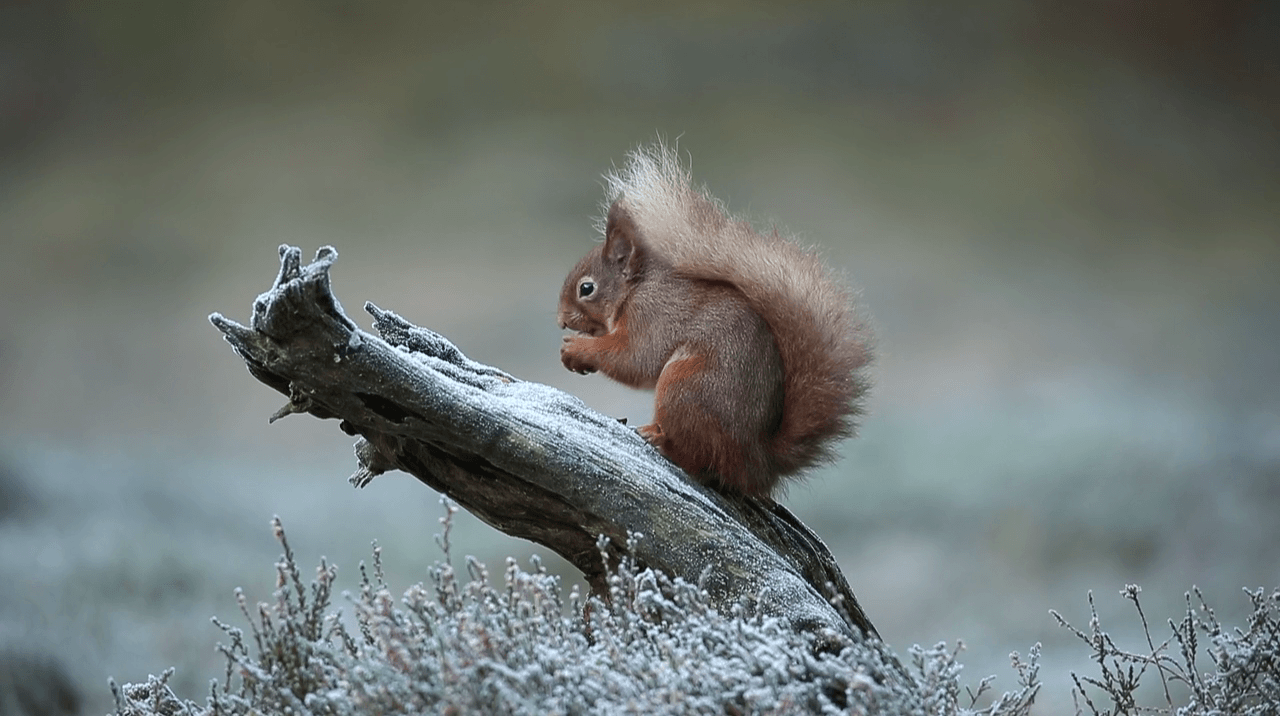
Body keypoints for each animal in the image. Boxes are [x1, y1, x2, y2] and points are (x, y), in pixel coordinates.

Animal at [557, 143, 871, 498]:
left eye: (586, 288)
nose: (560, 320)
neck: (635, 289)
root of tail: (756, 464)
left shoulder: (651, 317)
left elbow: (635, 359)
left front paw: (576, 350)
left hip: (684, 387)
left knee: (698, 460)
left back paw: (661, 441)